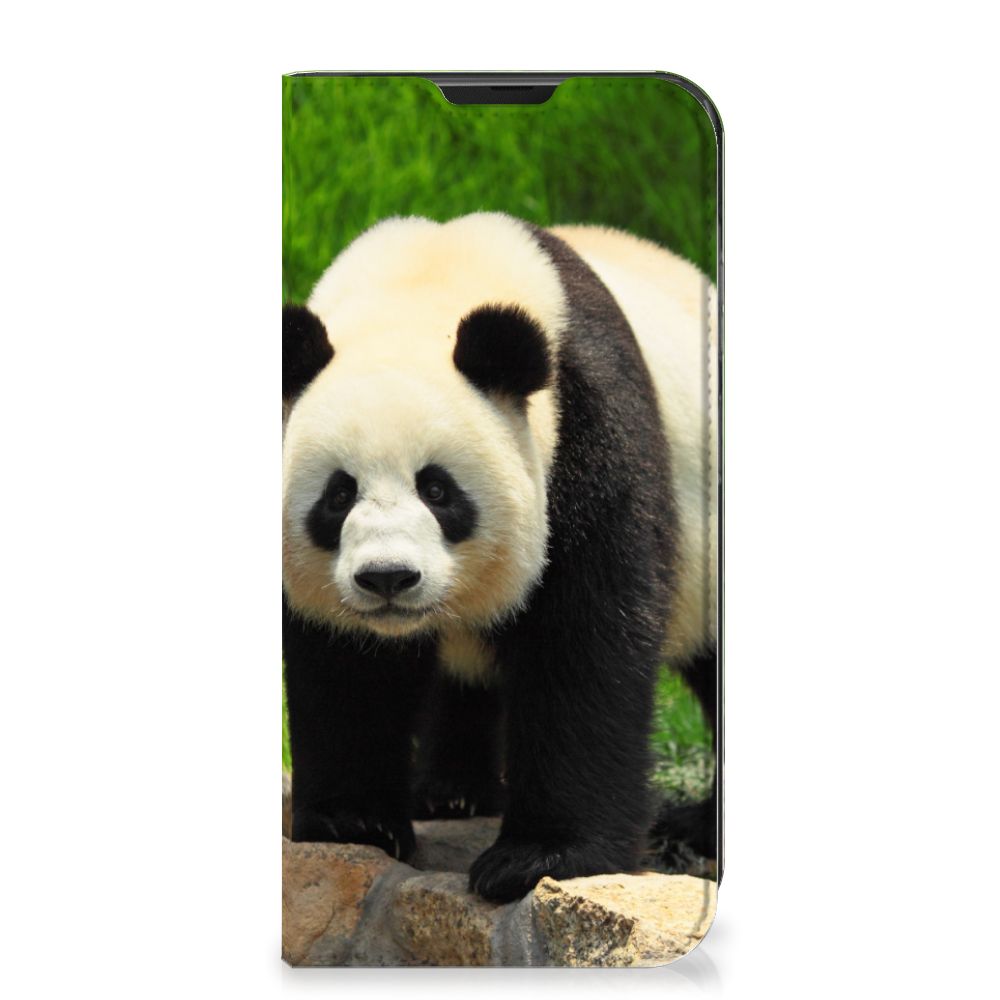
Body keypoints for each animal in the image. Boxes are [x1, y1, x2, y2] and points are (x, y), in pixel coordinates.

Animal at [282, 212, 718, 903]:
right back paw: (451, 792)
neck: (423, 285)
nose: (388, 578)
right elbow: (344, 664)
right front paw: (353, 822)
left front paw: (539, 857)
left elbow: (584, 641)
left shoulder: (587, 433)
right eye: (338, 494)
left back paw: (697, 825)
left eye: (437, 490)